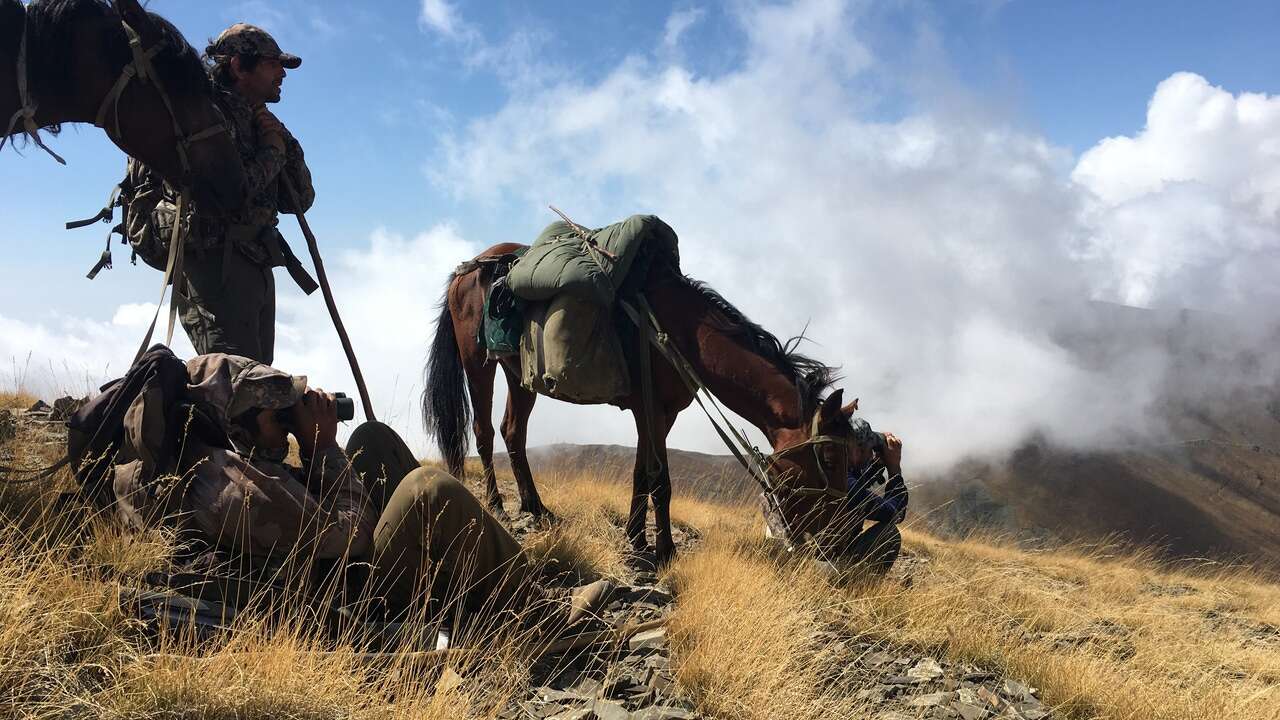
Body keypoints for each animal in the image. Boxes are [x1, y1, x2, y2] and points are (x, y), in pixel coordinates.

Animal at [424, 243, 855, 563]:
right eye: (830, 459)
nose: (840, 538)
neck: (679, 335)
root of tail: (465, 271)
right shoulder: (650, 410)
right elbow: (660, 480)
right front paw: (665, 549)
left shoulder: (661, 414)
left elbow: (641, 474)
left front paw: (636, 537)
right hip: (478, 364)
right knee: (482, 430)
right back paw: (497, 505)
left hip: (520, 375)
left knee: (513, 431)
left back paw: (536, 507)